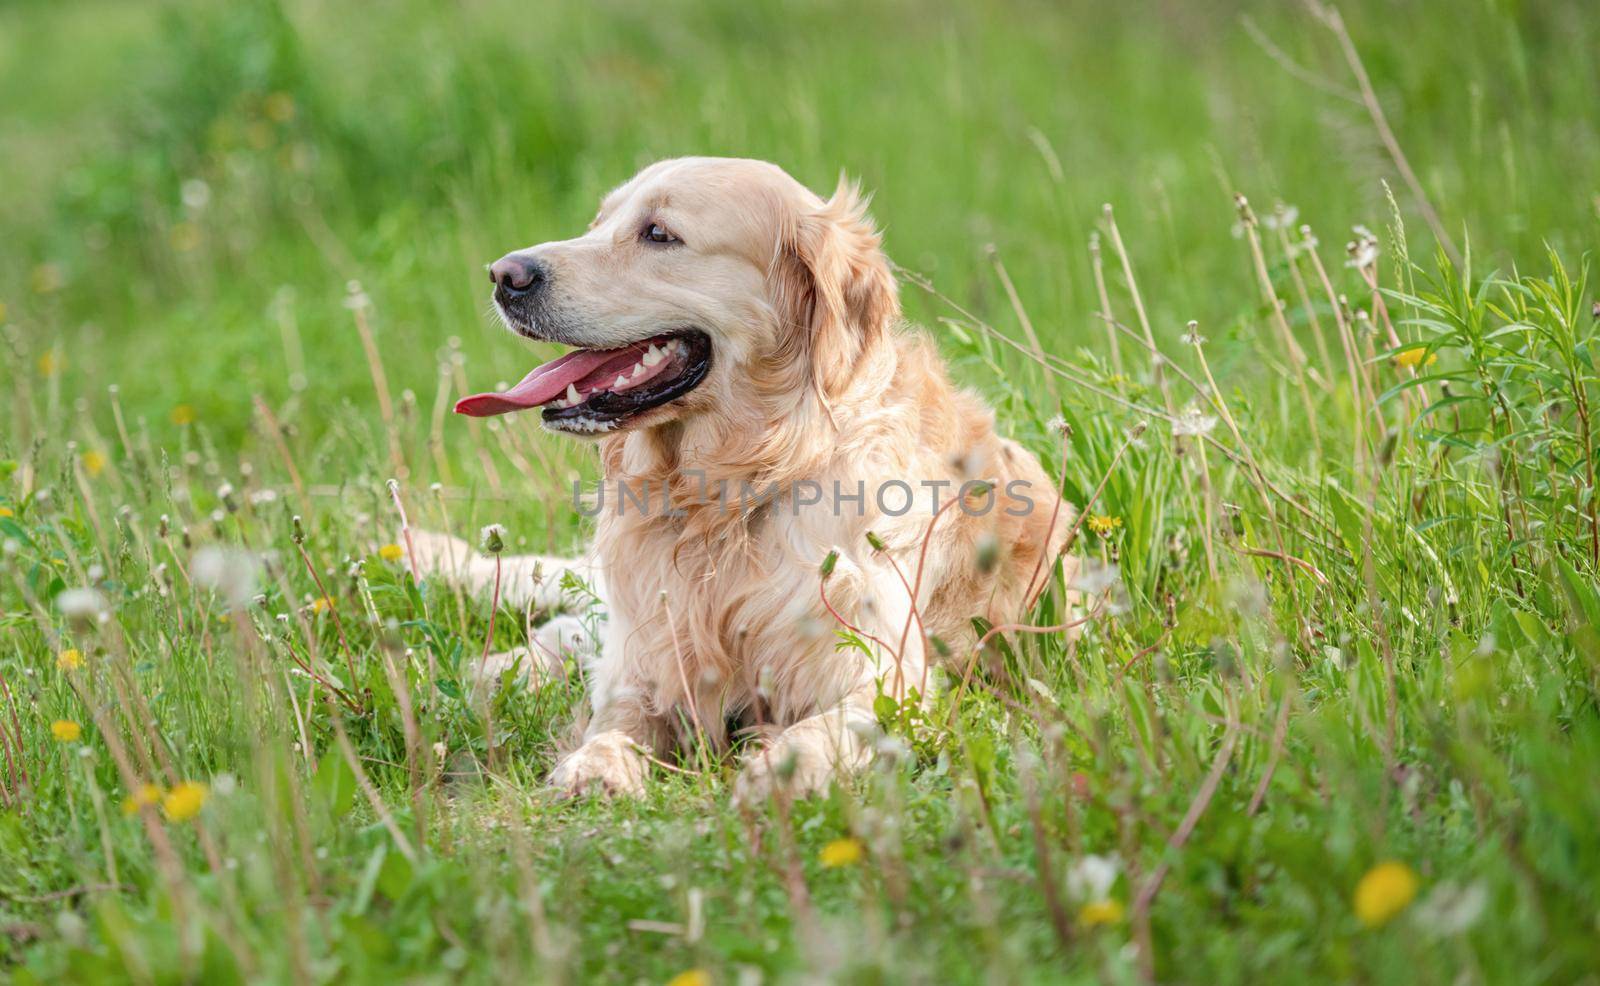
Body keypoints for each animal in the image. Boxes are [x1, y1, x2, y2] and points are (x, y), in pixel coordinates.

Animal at [416, 156, 1075, 800]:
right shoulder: (649, 658)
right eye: (597, 223)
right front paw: (595, 765)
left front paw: (781, 768)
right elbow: (617, 716)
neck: (737, 488)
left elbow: (831, 726)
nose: (504, 275)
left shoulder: (888, 675)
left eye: (659, 233)